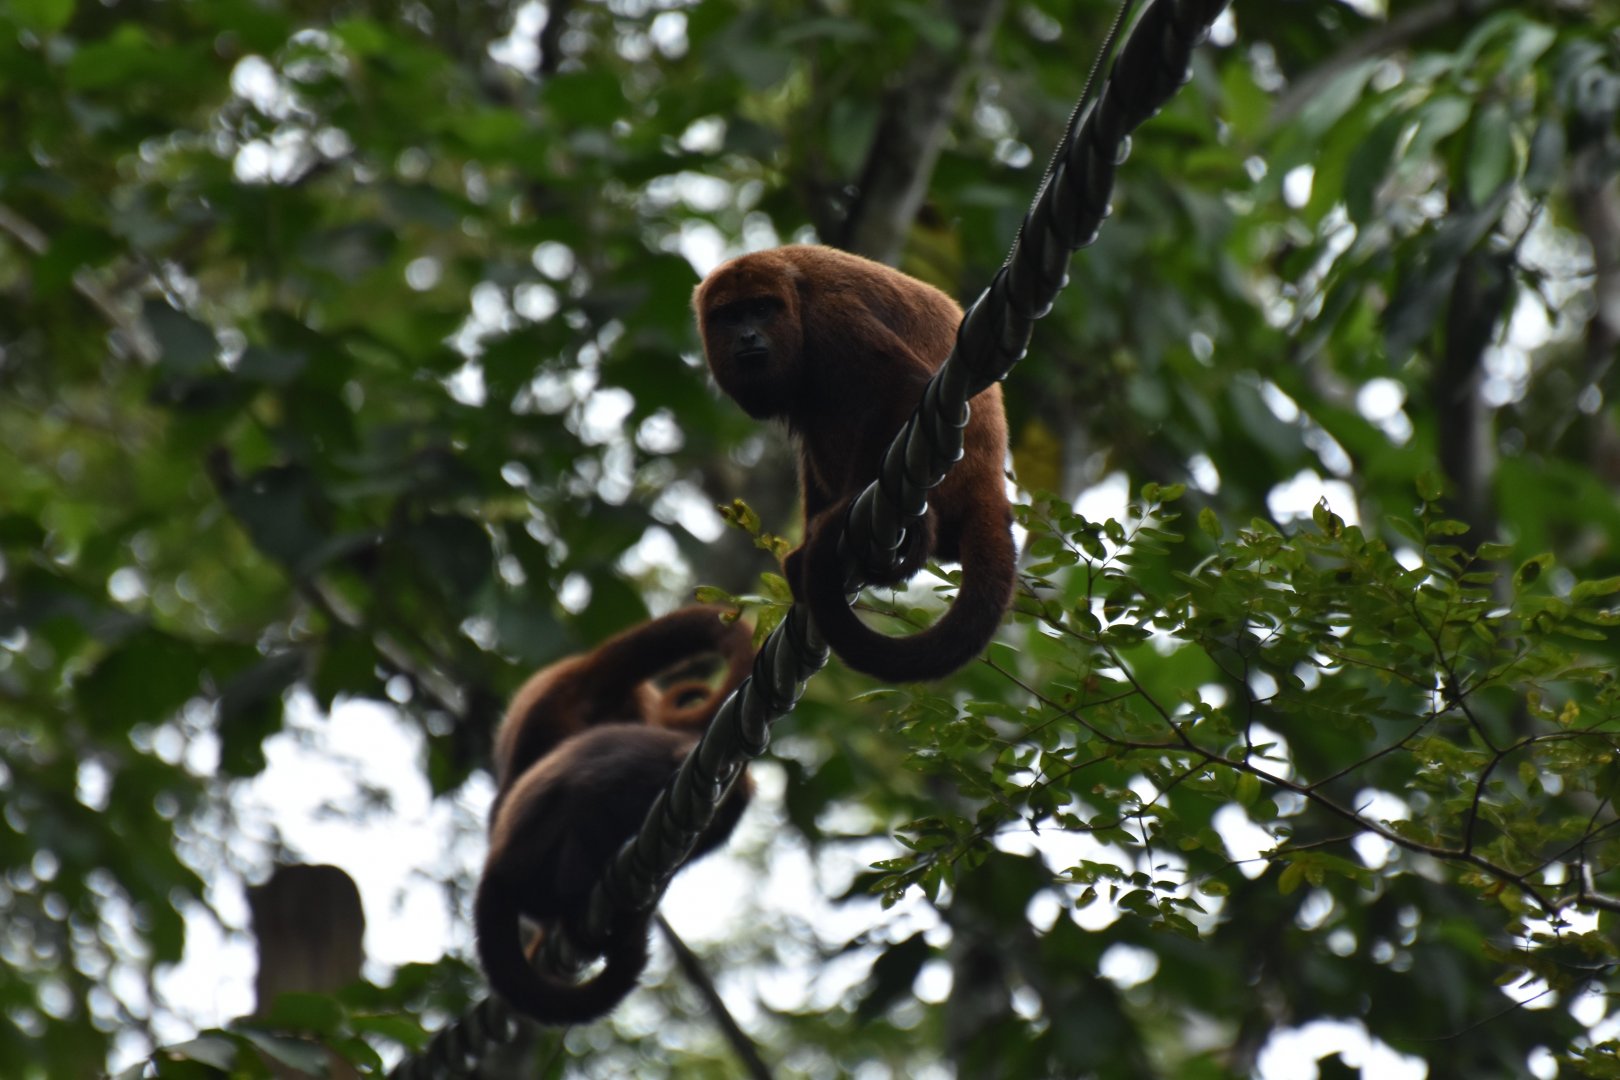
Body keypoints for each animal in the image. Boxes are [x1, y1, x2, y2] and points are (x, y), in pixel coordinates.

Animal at [693, 244, 1016, 682]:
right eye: (730, 315)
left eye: (760, 308)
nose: (747, 335)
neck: (794, 299)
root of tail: (989, 483)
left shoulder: (831, 317)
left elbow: (901, 382)